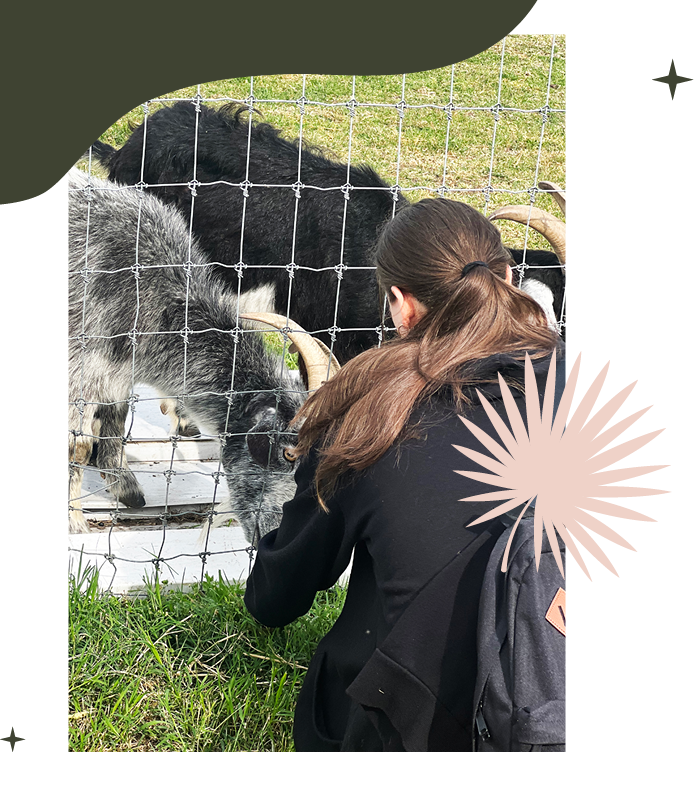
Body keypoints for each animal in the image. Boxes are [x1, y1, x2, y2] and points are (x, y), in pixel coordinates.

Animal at [68, 168, 338, 544]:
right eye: (286, 452)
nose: (275, 536)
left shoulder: (115, 375)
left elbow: (114, 419)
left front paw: (125, 488)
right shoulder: (79, 368)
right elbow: (76, 446)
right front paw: (74, 522)